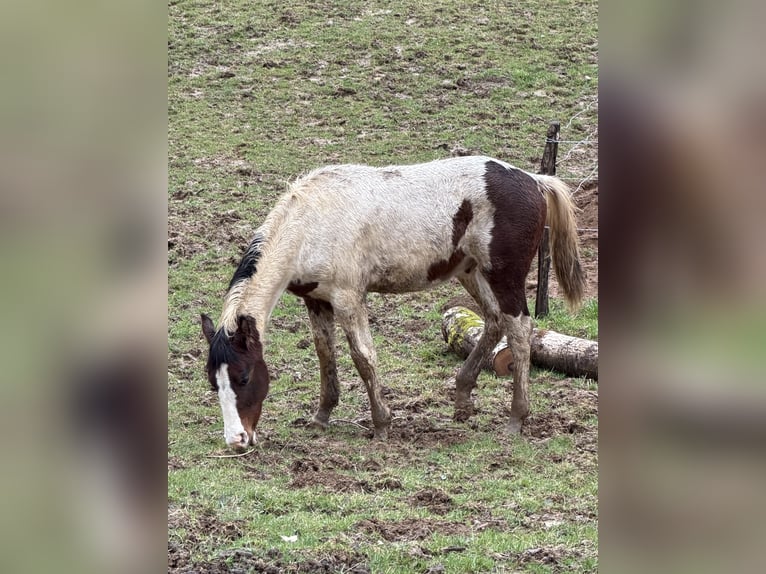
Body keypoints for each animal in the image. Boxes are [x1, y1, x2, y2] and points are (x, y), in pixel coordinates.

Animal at [201, 155, 584, 449]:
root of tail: (535, 180)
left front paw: (382, 424)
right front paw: (322, 416)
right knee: (493, 320)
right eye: (213, 381)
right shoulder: (317, 301)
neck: (312, 223)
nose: (236, 440)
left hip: (504, 276)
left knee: (519, 329)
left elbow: (363, 357)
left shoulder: (348, 298)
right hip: (470, 272)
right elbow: (325, 354)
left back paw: (516, 419)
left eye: (245, 377)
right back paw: (462, 401)